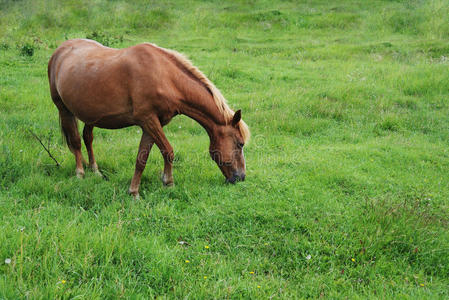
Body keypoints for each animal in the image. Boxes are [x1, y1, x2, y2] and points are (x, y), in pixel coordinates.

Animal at [47, 38, 250, 197]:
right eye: (240, 144)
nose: (241, 178)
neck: (165, 77)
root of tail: (60, 50)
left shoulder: (152, 124)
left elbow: (142, 158)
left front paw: (136, 191)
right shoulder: (148, 120)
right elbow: (168, 151)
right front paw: (168, 183)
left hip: (91, 116)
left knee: (87, 138)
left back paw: (95, 171)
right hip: (64, 109)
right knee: (75, 141)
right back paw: (80, 173)